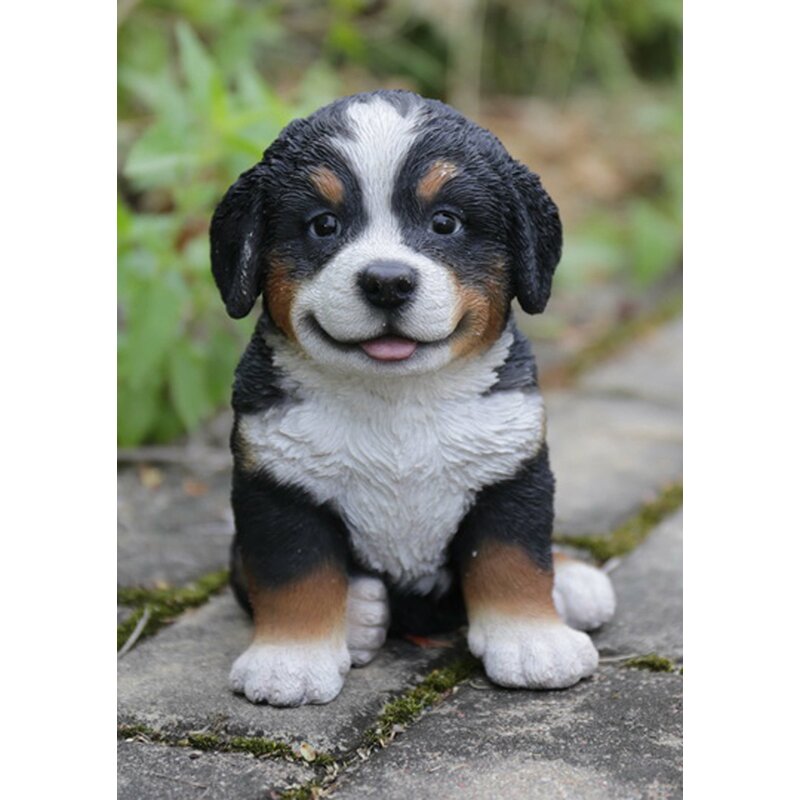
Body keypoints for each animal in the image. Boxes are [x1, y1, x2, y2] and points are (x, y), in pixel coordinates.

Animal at [209, 89, 616, 708]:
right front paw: (290, 662)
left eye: (444, 222)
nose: (387, 281)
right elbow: (291, 574)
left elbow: (515, 558)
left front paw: (533, 643)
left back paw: (574, 579)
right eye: (324, 225)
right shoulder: (275, 483)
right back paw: (359, 614)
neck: (397, 402)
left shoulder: (512, 468)